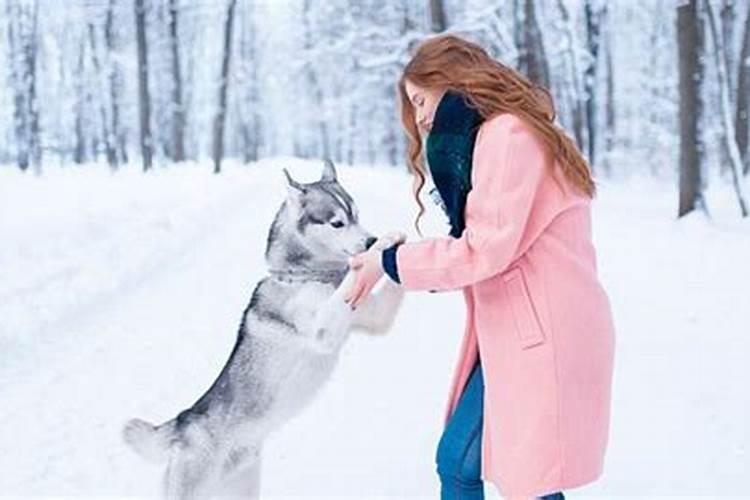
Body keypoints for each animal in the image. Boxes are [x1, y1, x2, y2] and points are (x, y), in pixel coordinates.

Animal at [123, 161, 406, 500]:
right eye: (337, 223)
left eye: (357, 215)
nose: (369, 240)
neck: (304, 275)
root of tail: (183, 421)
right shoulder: (322, 329)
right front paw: (383, 246)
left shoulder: (375, 318)